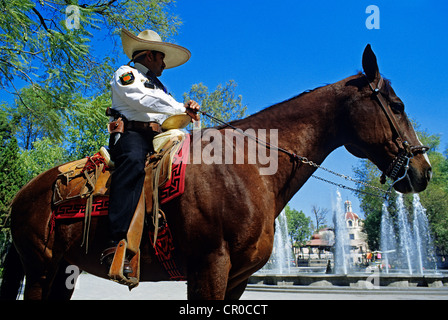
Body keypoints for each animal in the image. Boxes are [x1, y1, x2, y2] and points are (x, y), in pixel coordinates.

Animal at [1, 45, 432, 300]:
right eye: (396, 105)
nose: (423, 169)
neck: (250, 166)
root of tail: (24, 193)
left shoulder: (237, 278)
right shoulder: (210, 268)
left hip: (64, 272)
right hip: (40, 271)